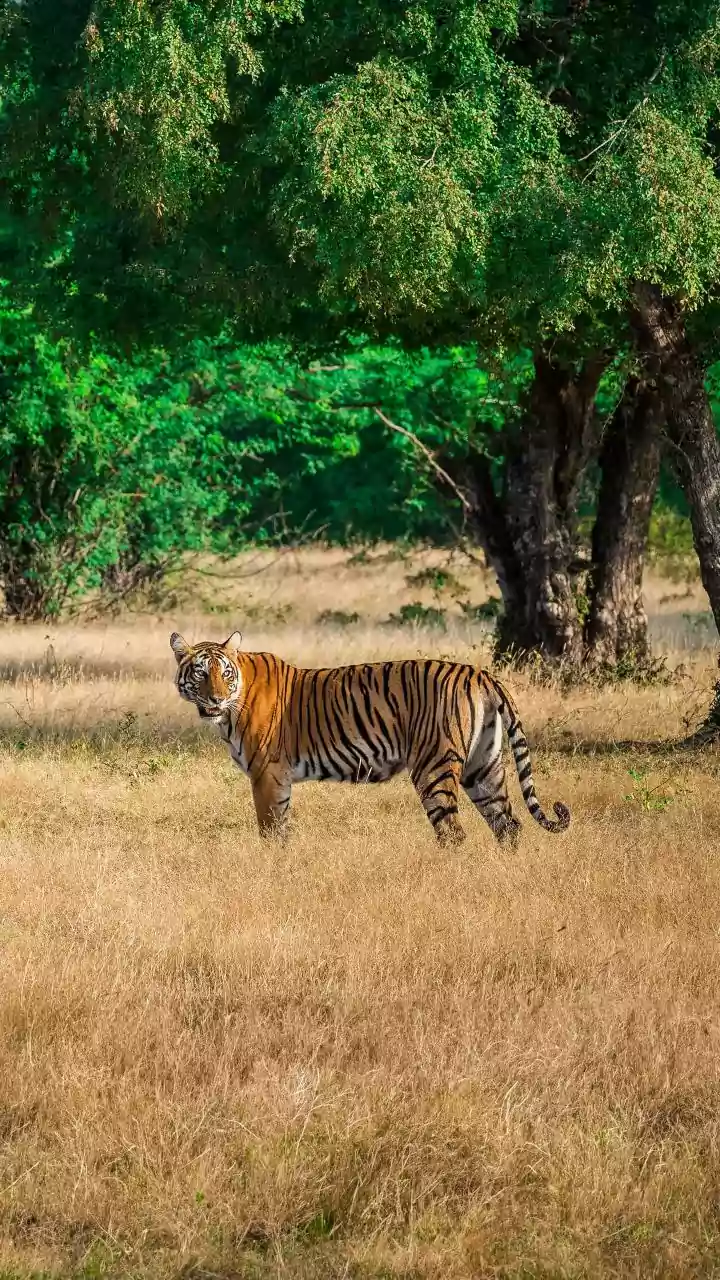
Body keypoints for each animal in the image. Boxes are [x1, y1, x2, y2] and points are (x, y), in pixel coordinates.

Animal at [170, 630, 570, 845]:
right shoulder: (276, 778)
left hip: (434, 766)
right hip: (483, 766)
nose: (216, 699)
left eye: (225, 673)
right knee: (508, 825)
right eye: (201, 673)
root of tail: (479, 673)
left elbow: (272, 831)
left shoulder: (267, 774)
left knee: (453, 831)